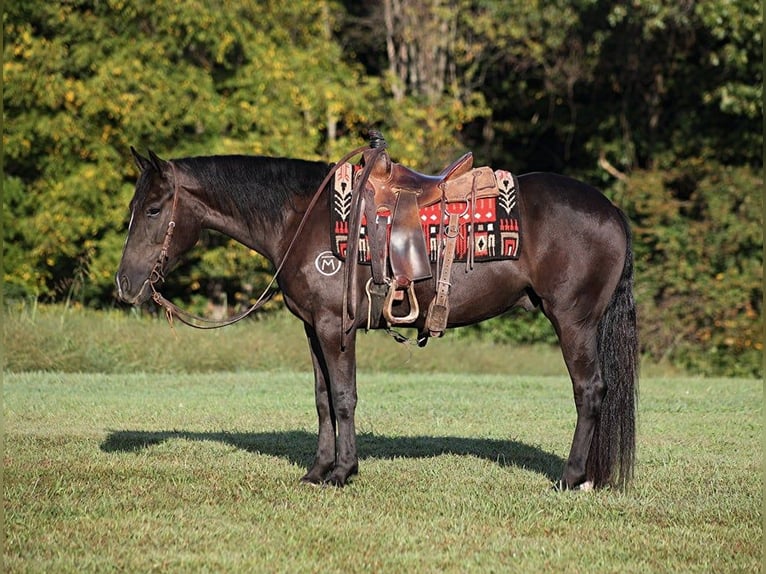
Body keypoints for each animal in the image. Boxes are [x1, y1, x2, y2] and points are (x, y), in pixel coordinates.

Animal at [116, 146, 639, 491]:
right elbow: (322, 399)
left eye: (154, 209)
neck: (302, 218)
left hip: (573, 322)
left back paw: (571, 478)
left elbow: (344, 398)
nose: (124, 284)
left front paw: (343, 472)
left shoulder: (336, 327)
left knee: (589, 391)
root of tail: (612, 210)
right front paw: (317, 471)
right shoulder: (312, 328)